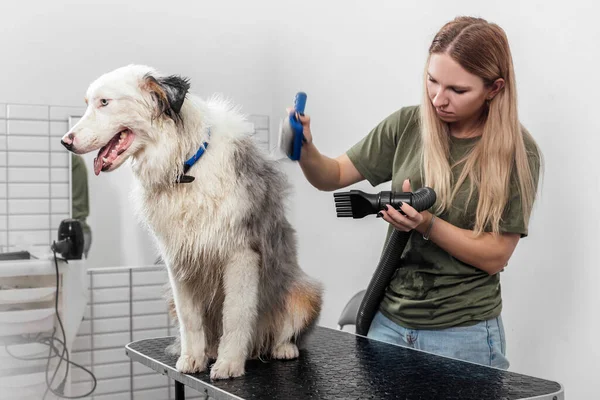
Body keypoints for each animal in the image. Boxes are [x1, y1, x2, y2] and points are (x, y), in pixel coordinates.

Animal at [61, 64, 324, 380]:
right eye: (88, 103)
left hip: (305, 291)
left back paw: (282, 348)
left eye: (104, 102)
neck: (186, 168)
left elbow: (235, 315)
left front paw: (229, 364)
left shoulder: (241, 253)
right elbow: (190, 320)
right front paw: (192, 359)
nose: (65, 142)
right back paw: (211, 351)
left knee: (284, 331)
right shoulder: (178, 259)